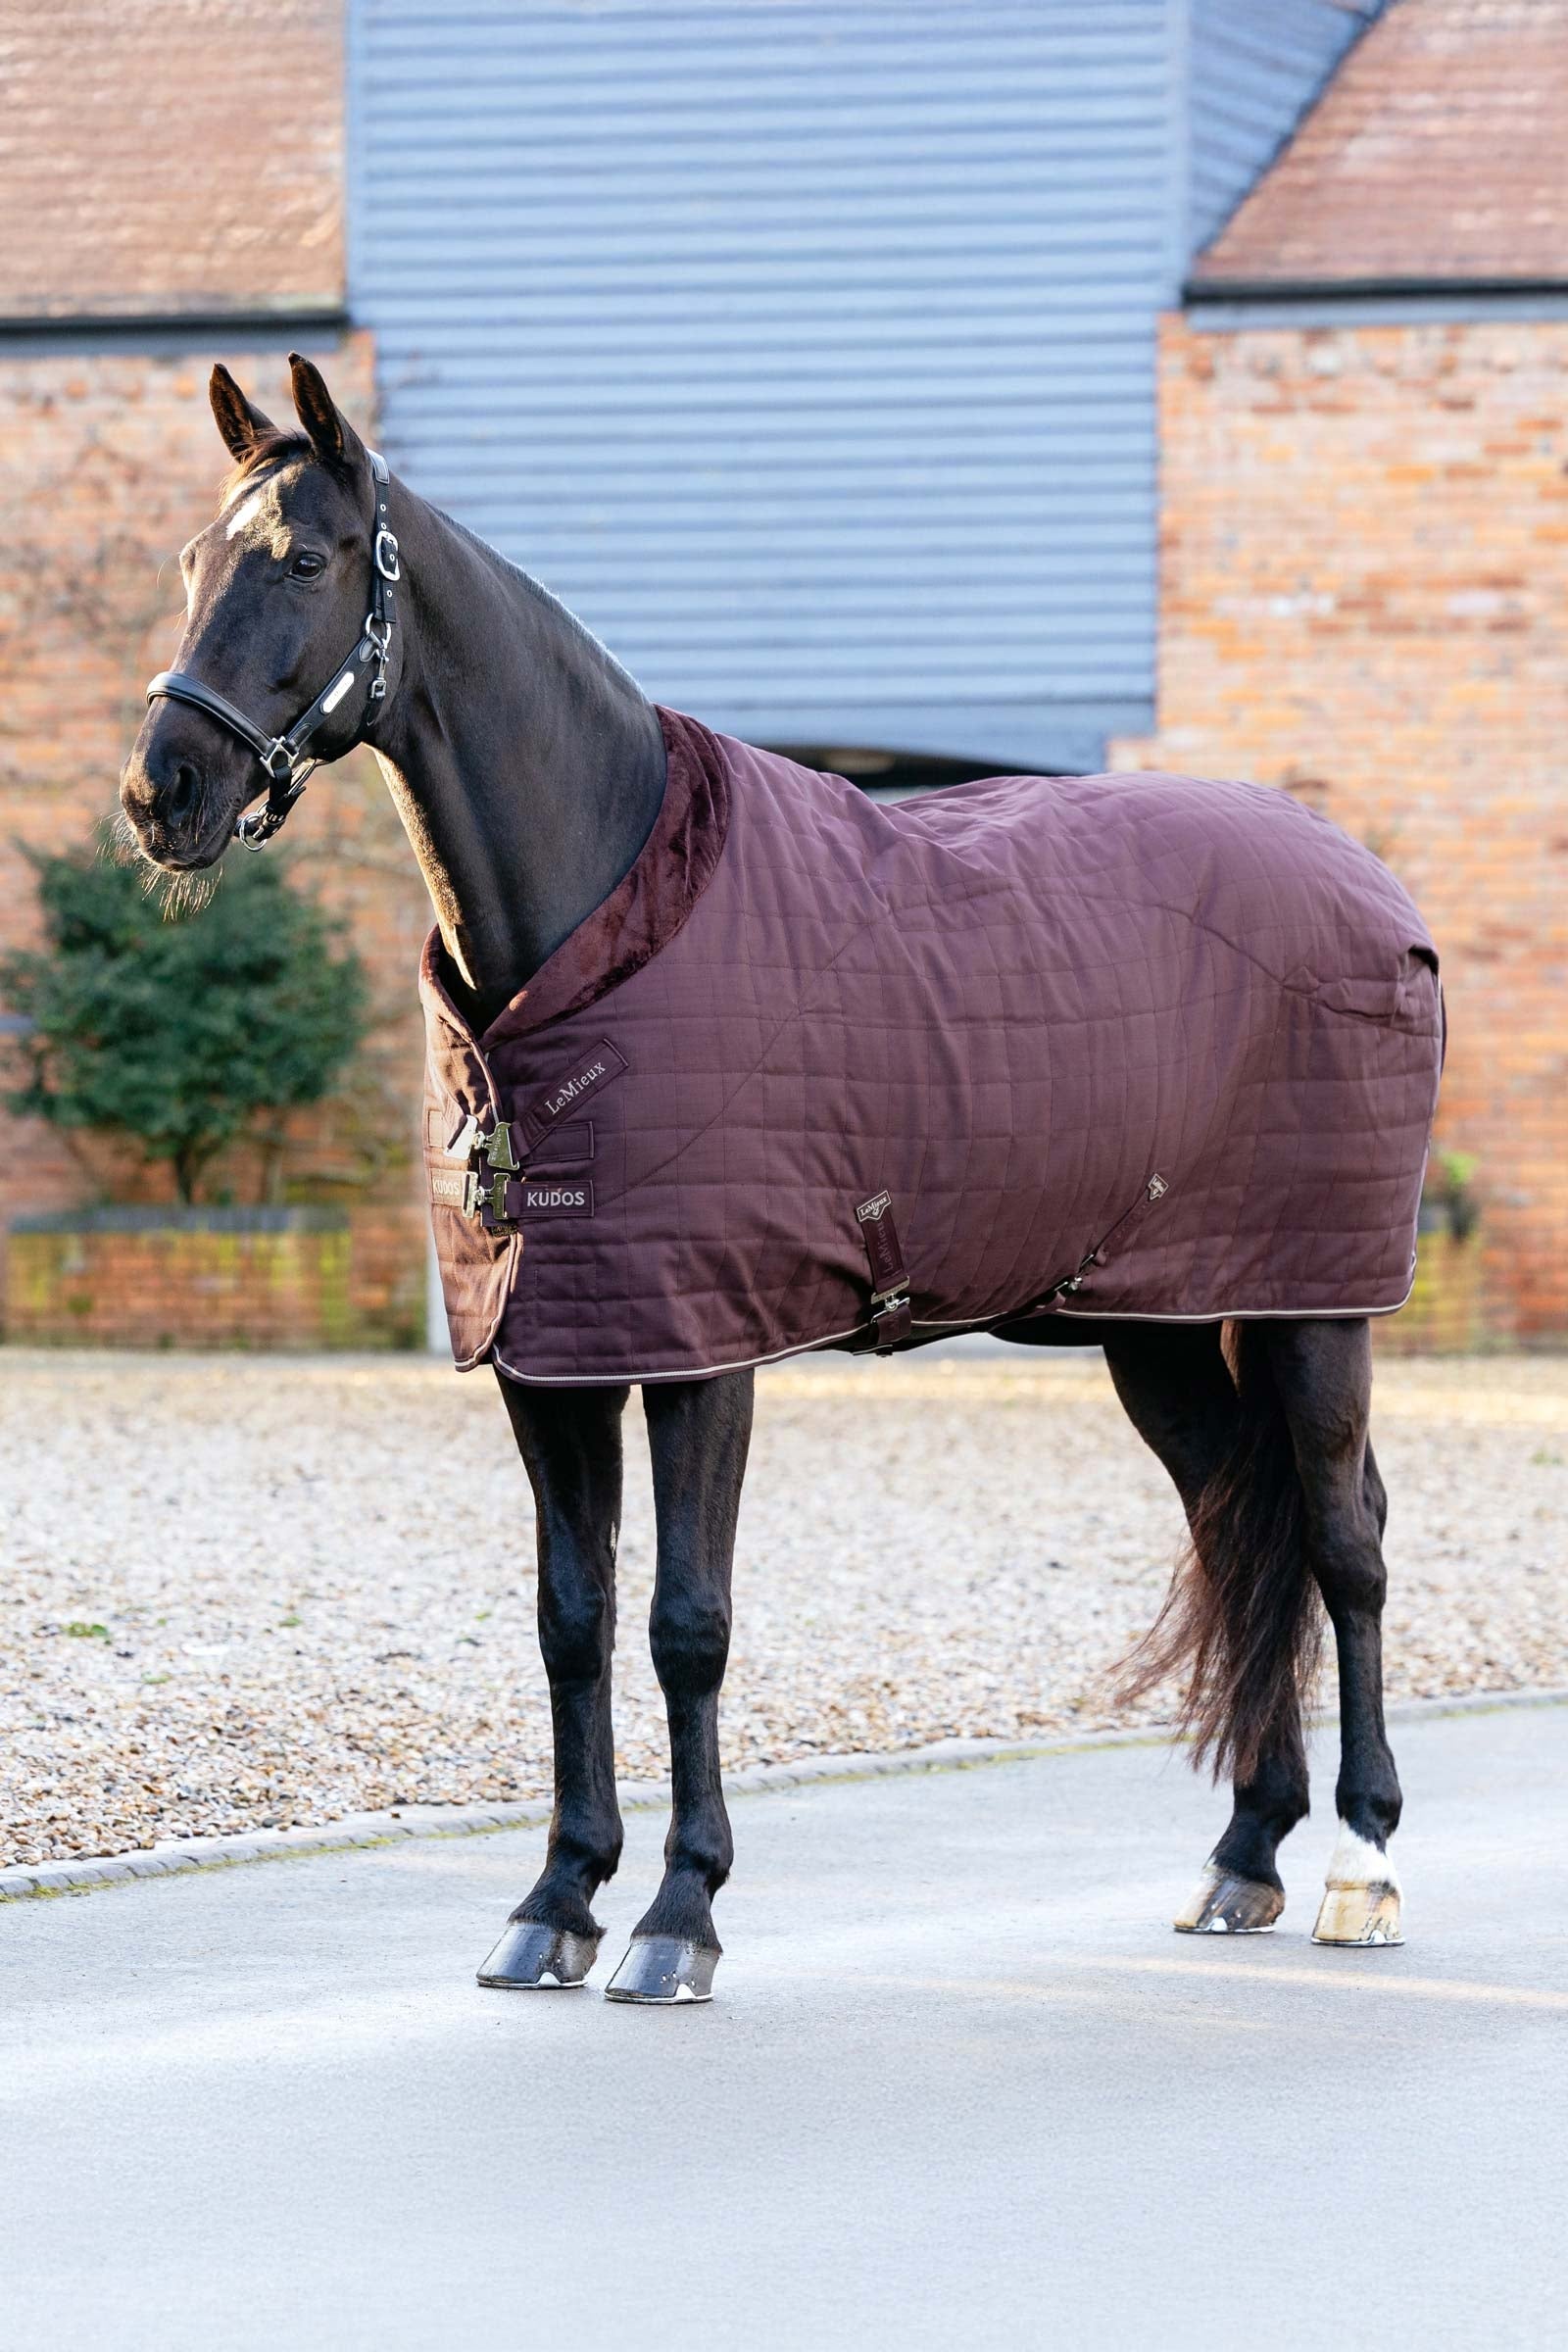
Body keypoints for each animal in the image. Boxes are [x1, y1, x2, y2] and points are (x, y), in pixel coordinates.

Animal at [120, 356, 1440, 2001]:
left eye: (301, 561)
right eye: (192, 562)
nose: (160, 792)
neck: (606, 911)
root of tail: (1369, 882)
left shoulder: (703, 1345)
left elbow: (688, 1621)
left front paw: (678, 1914)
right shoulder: (549, 1357)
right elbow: (570, 1620)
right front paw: (557, 1899)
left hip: (1315, 1304)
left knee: (1345, 1543)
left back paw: (1362, 1863)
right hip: (1158, 1327)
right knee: (1235, 1527)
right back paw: (1244, 1854)